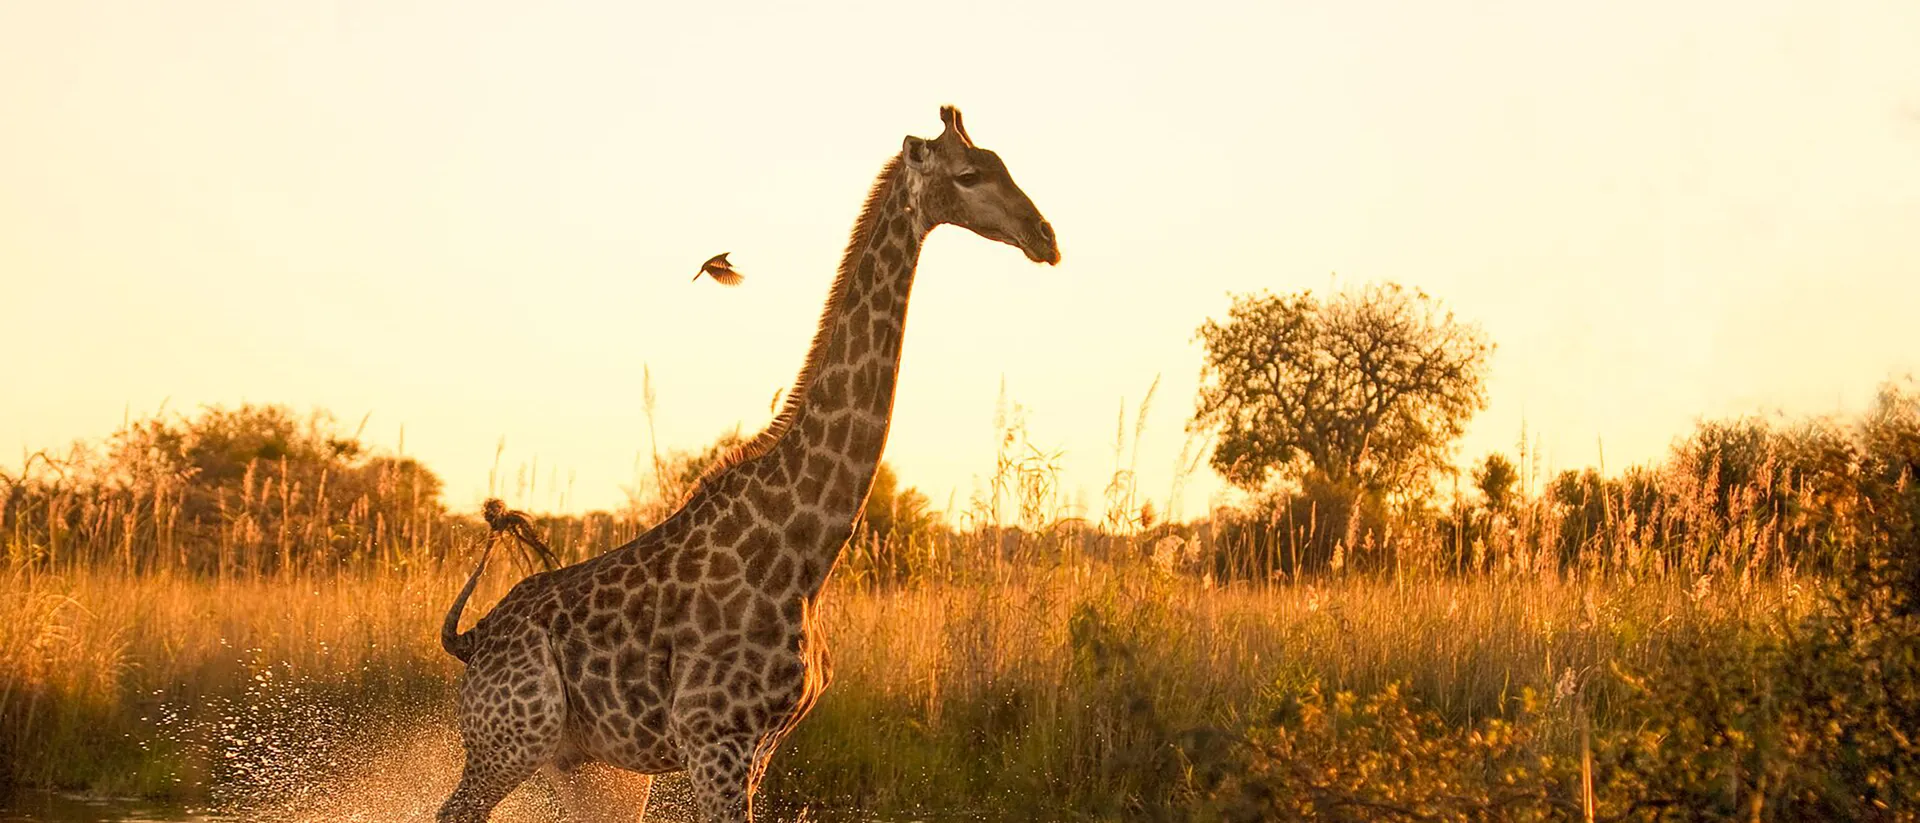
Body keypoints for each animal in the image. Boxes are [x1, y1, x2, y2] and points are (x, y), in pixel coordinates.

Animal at [436, 105, 1059, 823]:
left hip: (584, 764)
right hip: (509, 740)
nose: (1045, 237)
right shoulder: (715, 741)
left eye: (1001, 164)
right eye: (969, 175)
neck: (804, 553)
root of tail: (470, 641)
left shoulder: (760, 746)